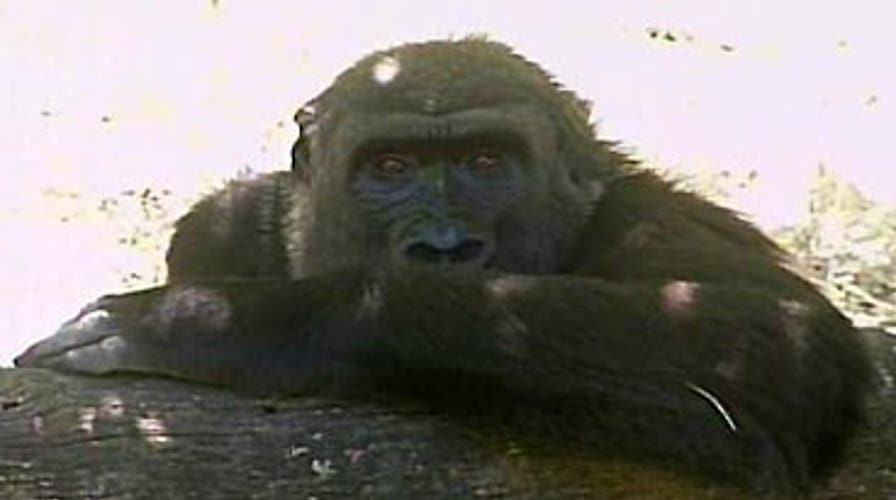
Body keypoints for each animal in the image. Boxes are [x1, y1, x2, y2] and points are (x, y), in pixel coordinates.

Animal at [16, 38, 870, 494]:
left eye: (486, 161)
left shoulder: (647, 215)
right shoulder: (220, 224)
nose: (447, 249)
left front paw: (214, 321)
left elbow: (770, 341)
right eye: (390, 167)